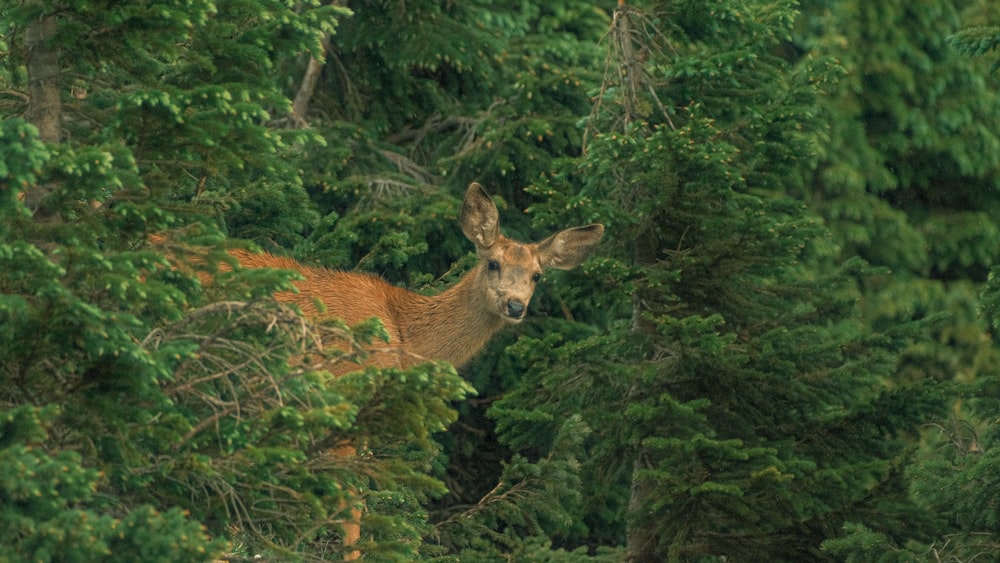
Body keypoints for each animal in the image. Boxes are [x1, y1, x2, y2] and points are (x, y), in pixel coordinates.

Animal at [165, 184, 604, 560]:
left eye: (537, 275)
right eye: (493, 263)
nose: (515, 306)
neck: (405, 335)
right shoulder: (347, 403)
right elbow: (352, 503)